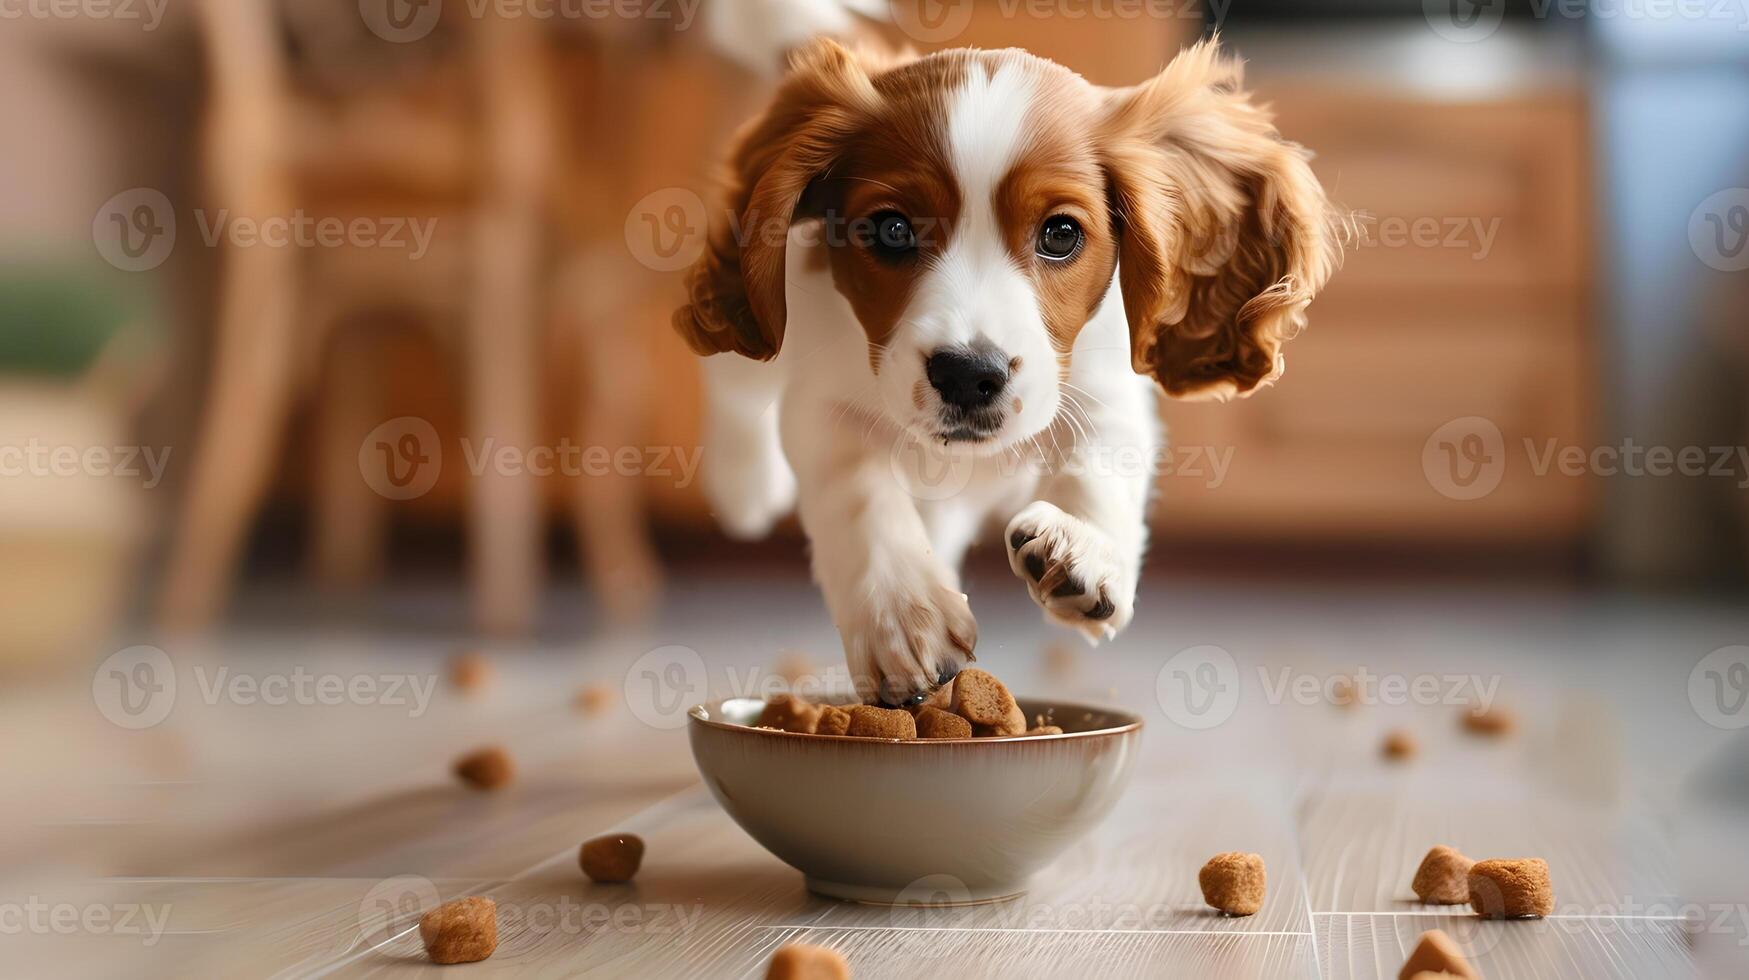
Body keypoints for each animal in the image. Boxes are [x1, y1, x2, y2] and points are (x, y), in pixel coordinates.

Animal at [668, 38, 1336, 703]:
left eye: (1061, 233)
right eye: (892, 229)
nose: (968, 375)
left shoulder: (1107, 387)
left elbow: (1103, 462)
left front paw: (1084, 552)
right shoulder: (823, 402)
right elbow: (857, 492)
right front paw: (902, 619)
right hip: (761, 323)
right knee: (733, 388)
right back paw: (746, 483)